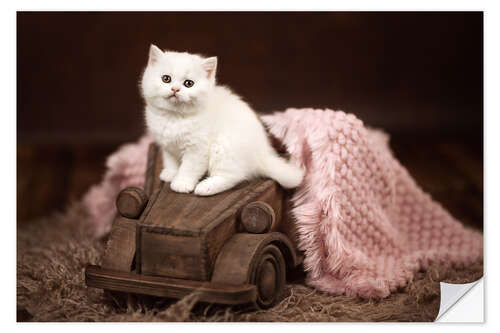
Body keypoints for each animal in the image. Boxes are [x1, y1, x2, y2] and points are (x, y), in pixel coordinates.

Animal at [141, 44, 304, 195]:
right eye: (166, 79)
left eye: (188, 83)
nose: (175, 89)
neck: (174, 117)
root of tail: (262, 153)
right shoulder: (166, 145)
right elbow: (170, 160)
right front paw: (170, 173)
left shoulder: (198, 149)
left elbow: (189, 168)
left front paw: (181, 183)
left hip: (224, 147)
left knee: (233, 176)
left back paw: (206, 187)